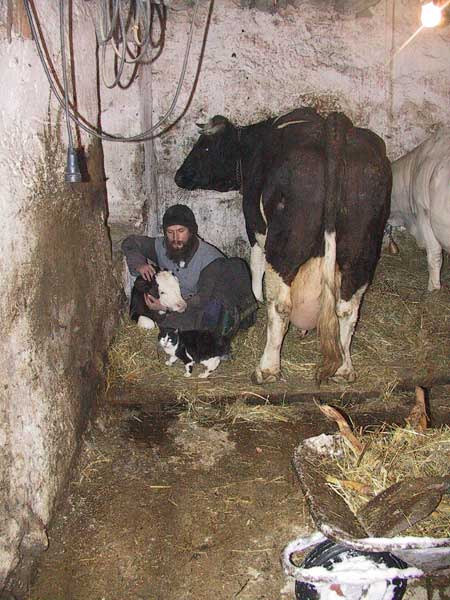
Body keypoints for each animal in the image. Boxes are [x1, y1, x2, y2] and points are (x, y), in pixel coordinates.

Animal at [174, 108, 392, 384]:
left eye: (204, 146)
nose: (178, 176)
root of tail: (333, 129)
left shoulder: (255, 227)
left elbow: (256, 268)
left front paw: (256, 298)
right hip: (360, 252)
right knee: (347, 308)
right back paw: (343, 369)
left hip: (284, 248)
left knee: (281, 305)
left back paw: (267, 369)